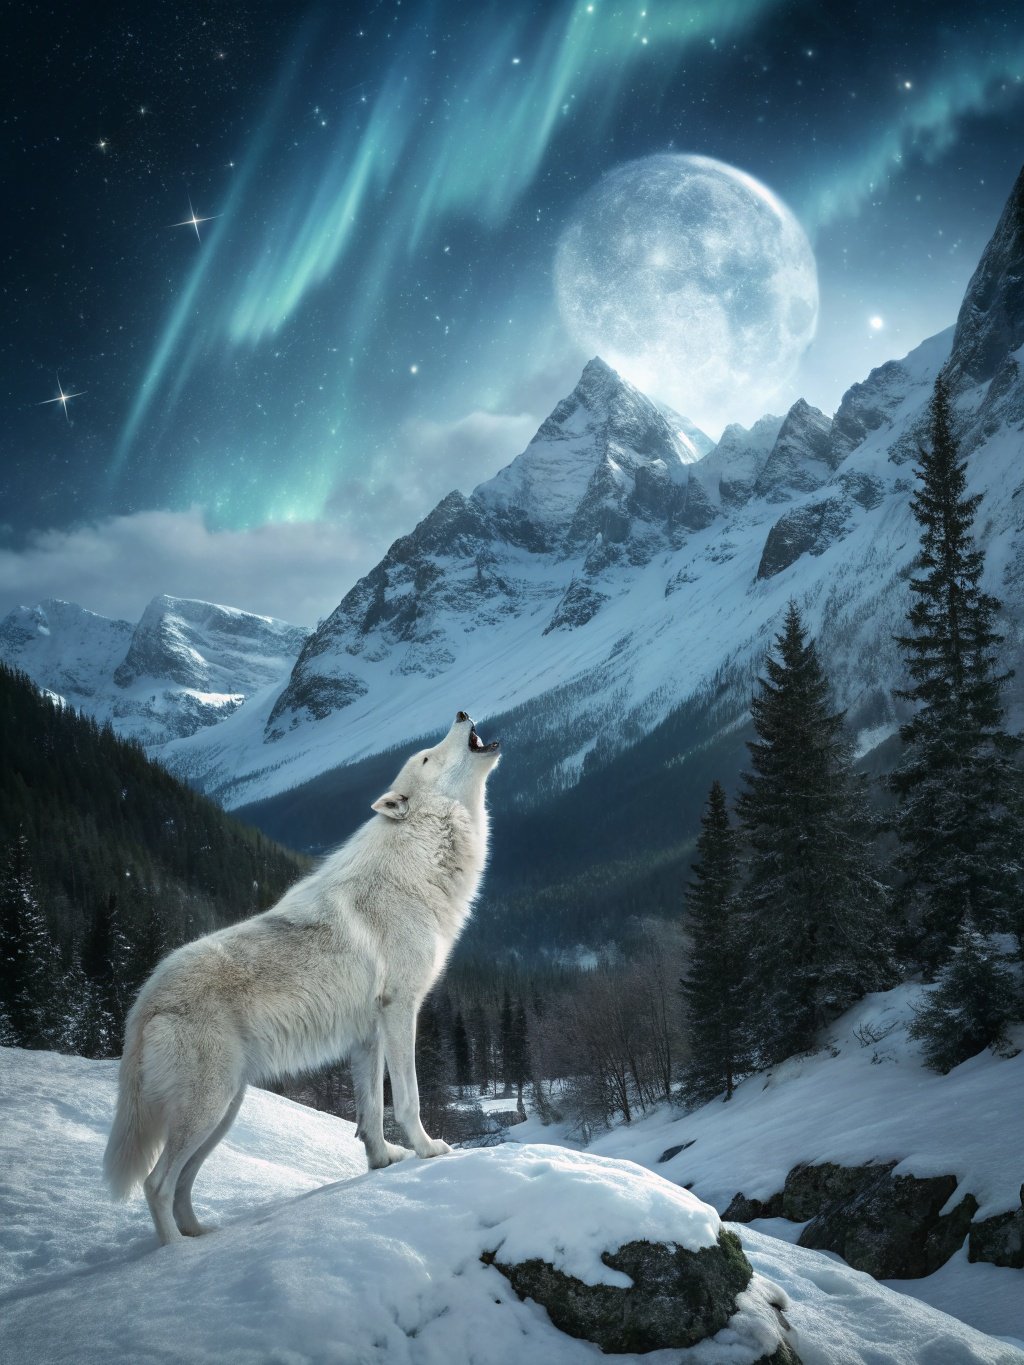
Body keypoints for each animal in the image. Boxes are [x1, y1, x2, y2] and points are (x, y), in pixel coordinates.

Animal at [103, 710, 501, 1244]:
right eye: (425, 757)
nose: (460, 714)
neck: (418, 859)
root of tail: (144, 999)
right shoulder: (401, 1011)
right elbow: (408, 1100)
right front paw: (427, 1149)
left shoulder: (367, 1035)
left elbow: (370, 1113)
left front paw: (382, 1162)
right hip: (208, 1108)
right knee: (156, 1183)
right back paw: (176, 1253)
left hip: (223, 1112)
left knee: (182, 1184)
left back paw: (201, 1235)